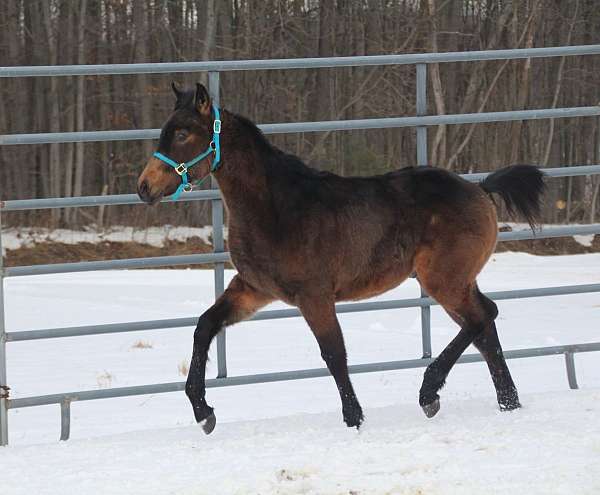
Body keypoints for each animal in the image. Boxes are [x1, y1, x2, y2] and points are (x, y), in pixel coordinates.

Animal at [137, 83, 544, 436]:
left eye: (183, 133)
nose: (144, 187)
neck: (276, 209)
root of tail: (479, 189)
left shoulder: (314, 295)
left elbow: (333, 353)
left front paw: (354, 418)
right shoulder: (253, 289)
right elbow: (204, 326)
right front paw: (203, 411)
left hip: (444, 280)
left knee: (482, 318)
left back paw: (430, 393)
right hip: (455, 281)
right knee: (485, 328)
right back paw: (508, 402)